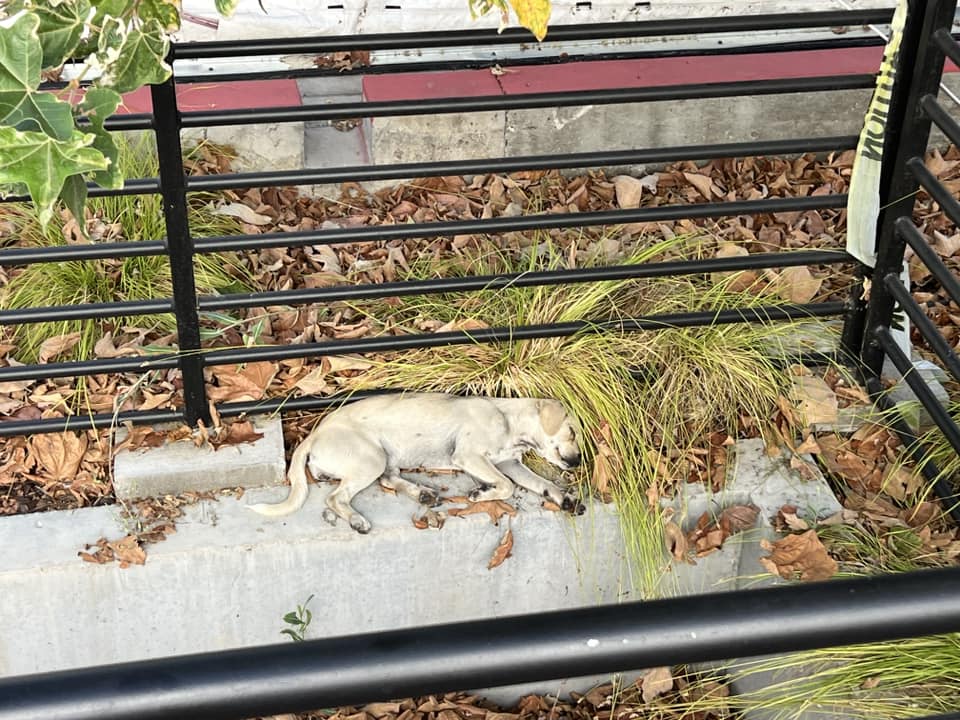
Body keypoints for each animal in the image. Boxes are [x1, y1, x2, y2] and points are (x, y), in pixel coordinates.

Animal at [246, 390, 584, 532]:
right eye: (571, 432)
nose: (577, 462)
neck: (508, 421)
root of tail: (313, 436)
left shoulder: (510, 463)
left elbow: (539, 483)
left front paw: (564, 498)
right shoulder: (470, 456)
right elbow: (507, 486)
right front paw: (481, 493)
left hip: (386, 457)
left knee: (387, 479)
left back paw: (422, 494)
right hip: (372, 457)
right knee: (335, 498)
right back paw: (357, 520)